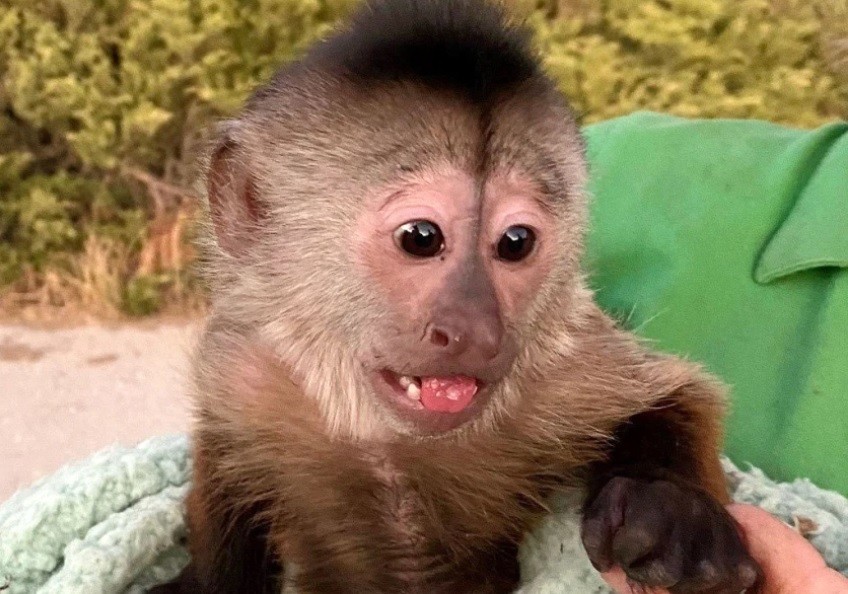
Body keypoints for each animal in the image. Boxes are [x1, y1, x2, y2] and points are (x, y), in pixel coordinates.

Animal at [151, 1, 761, 592]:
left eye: (515, 243)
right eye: (421, 237)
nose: (475, 329)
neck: (389, 440)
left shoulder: (566, 367)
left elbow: (678, 394)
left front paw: (670, 501)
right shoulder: (246, 372)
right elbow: (224, 460)